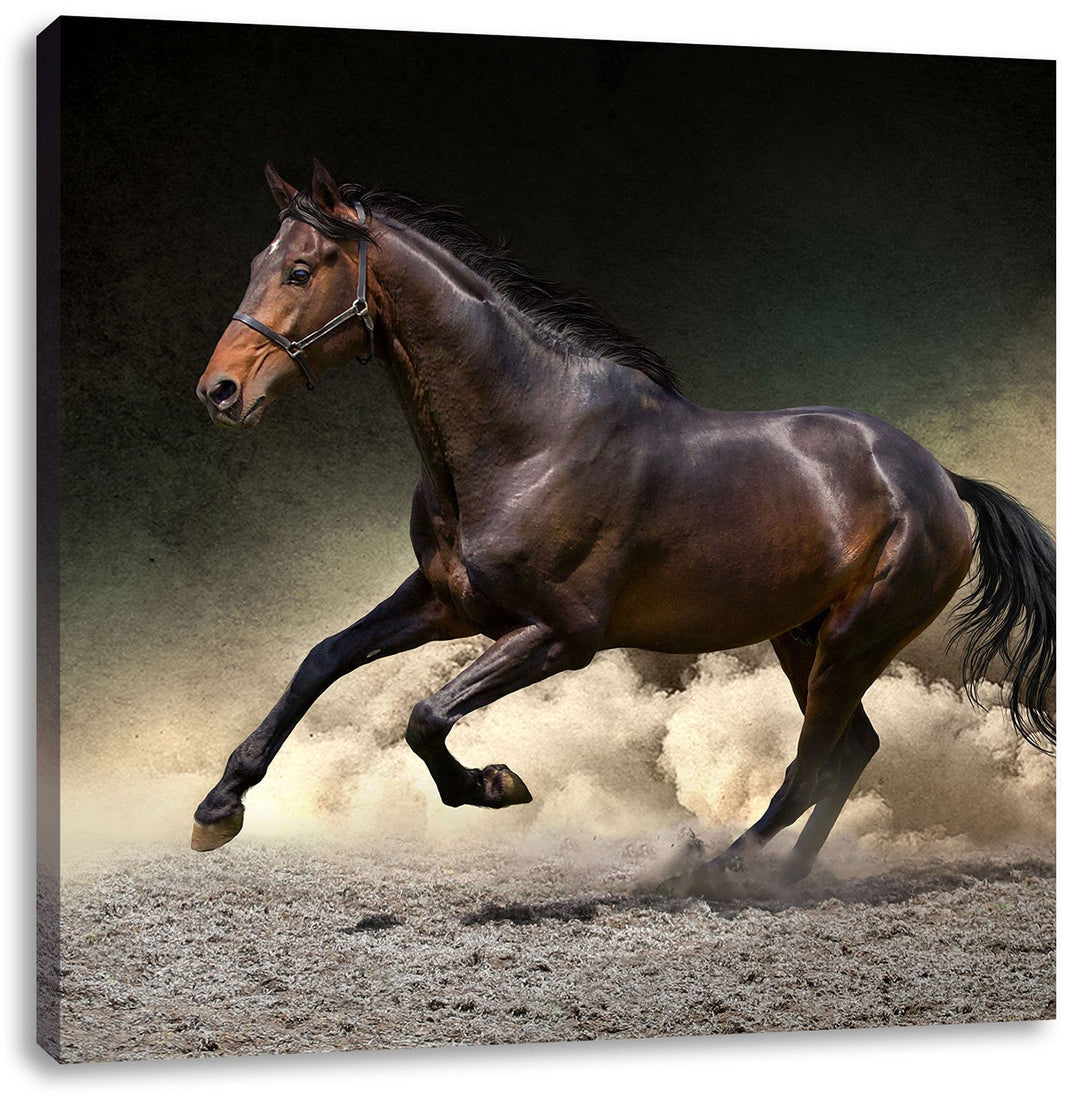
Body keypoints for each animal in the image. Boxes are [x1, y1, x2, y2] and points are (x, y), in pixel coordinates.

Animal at [192, 161, 1055, 893]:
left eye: (302, 270)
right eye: (258, 263)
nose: (219, 391)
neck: (529, 440)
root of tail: (940, 480)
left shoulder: (560, 635)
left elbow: (426, 716)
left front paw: (497, 785)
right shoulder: (448, 603)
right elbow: (323, 659)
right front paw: (219, 807)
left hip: (854, 641)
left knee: (814, 766)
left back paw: (717, 873)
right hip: (801, 636)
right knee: (851, 753)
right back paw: (786, 880)